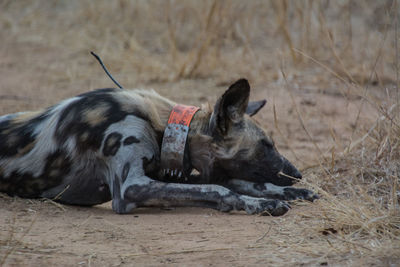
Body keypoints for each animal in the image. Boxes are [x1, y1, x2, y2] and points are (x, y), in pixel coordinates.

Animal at [0, 79, 318, 216]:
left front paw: (291, 193)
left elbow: (235, 182)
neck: (167, 126)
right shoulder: (131, 187)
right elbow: (220, 189)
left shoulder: (166, 173)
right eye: (266, 145)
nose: (297, 174)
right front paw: (260, 204)